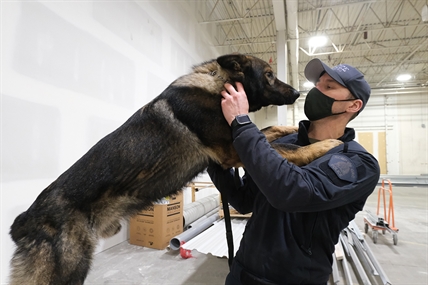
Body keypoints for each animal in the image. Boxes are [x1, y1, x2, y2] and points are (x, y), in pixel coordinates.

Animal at [10, 53, 342, 284]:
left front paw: (294, 127)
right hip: (68, 268)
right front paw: (324, 144)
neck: (217, 85)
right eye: (270, 75)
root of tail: (25, 220)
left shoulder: (238, 142)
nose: (297, 94)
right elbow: (287, 150)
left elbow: (271, 129)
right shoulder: (234, 151)